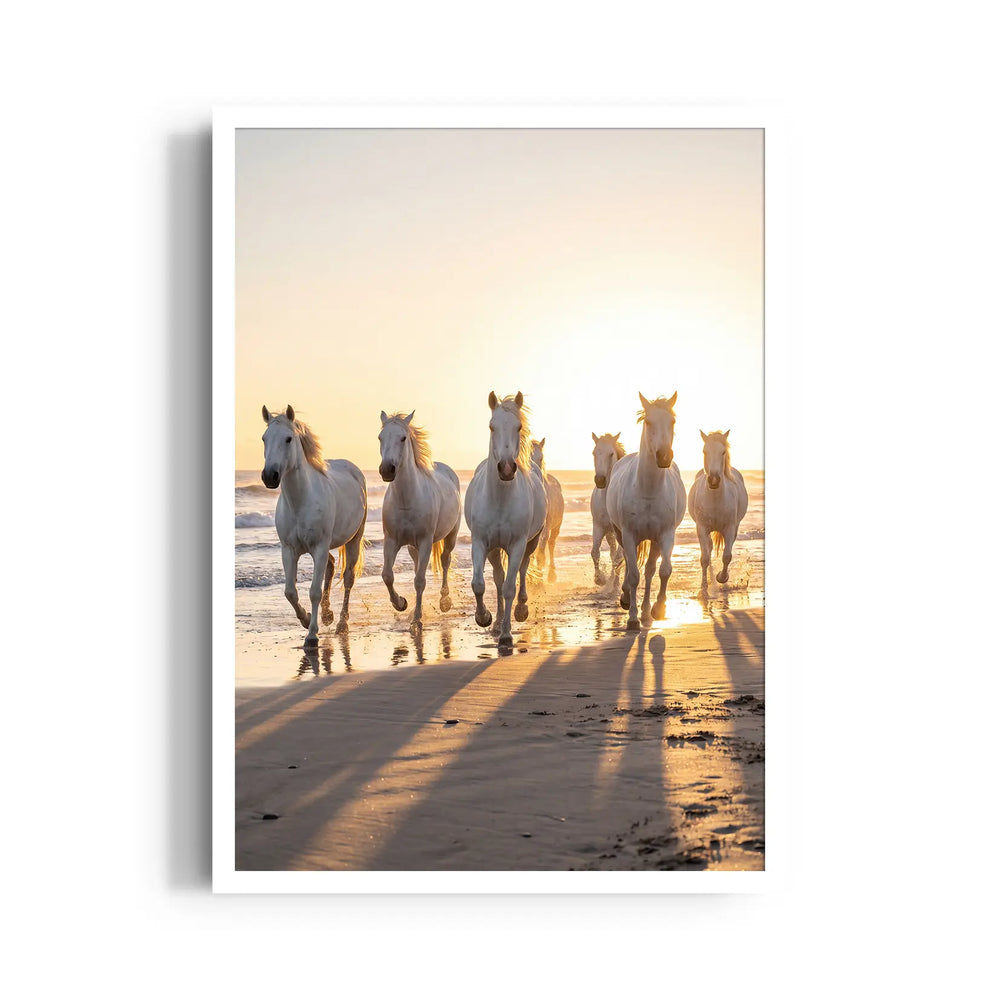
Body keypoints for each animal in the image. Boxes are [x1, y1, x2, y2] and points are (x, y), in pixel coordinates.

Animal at [260, 405, 367, 645]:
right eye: (264, 438)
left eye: (288, 438)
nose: (269, 476)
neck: (300, 502)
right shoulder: (289, 550)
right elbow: (290, 591)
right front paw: (306, 619)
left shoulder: (318, 547)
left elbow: (314, 591)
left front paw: (311, 634)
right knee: (331, 565)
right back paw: (328, 615)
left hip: (353, 540)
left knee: (348, 577)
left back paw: (341, 623)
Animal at [377, 409, 462, 631]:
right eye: (380, 437)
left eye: (403, 438)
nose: (387, 470)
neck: (406, 500)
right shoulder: (391, 540)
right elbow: (387, 575)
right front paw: (401, 604)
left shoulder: (425, 541)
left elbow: (420, 581)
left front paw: (416, 620)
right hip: (412, 546)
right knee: (417, 566)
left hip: (450, 535)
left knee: (445, 560)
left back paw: (444, 602)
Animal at [463, 391, 547, 650]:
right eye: (492, 426)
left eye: (518, 426)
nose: (507, 468)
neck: (500, 498)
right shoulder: (480, 542)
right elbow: (480, 584)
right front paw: (484, 618)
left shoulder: (518, 544)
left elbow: (511, 586)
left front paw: (507, 636)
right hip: (494, 549)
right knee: (498, 579)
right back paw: (498, 622)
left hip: (530, 543)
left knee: (522, 570)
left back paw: (520, 610)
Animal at [605, 392, 687, 630]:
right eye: (649, 422)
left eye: (672, 421)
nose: (664, 456)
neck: (648, 490)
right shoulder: (629, 534)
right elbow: (633, 575)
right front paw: (632, 618)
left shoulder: (666, 534)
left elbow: (664, 570)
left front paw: (657, 609)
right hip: (621, 534)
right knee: (627, 561)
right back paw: (627, 600)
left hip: (654, 540)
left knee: (650, 570)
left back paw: (646, 612)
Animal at [687, 429, 749, 586]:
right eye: (705, 451)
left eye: (723, 452)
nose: (714, 480)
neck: (715, 500)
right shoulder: (702, 528)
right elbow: (704, 557)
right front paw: (704, 584)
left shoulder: (730, 528)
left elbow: (727, 556)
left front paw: (722, 577)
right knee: (708, 547)